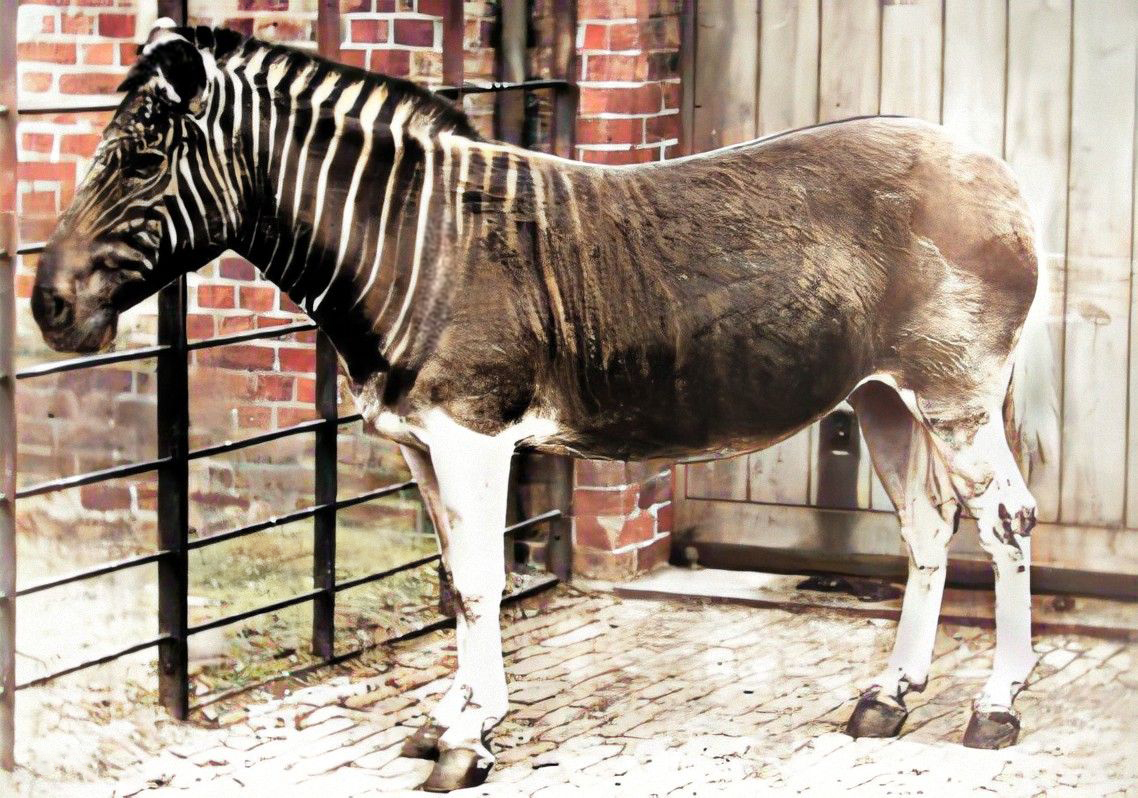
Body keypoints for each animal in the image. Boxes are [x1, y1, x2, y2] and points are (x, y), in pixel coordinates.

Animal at [33, 22, 1055, 791]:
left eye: (141, 161)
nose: (47, 309)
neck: (407, 245)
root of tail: (995, 166)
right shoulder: (419, 442)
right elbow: (454, 580)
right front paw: (450, 715)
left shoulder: (473, 435)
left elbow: (483, 582)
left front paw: (466, 742)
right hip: (885, 397)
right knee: (928, 530)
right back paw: (890, 697)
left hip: (956, 392)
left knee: (1004, 520)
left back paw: (994, 708)